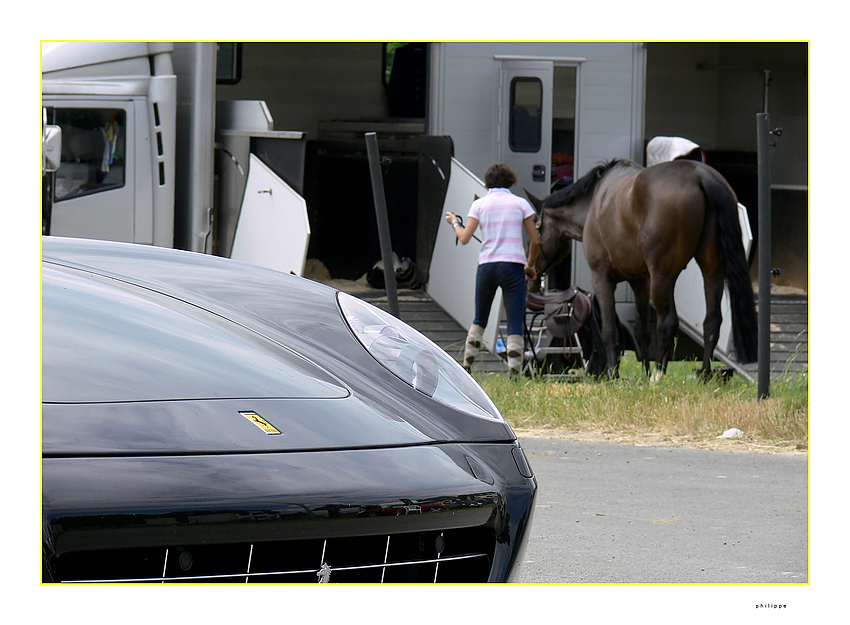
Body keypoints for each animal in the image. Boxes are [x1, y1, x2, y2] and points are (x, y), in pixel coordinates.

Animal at [528, 158, 760, 378]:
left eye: (534, 228)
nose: (530, 274)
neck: (595, 203)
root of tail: (700, 175)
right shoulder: (639, 281)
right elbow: (642, 332)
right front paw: (642, 373)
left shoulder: (602, 279)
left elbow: (610, 331)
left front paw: (614, 375)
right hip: (712, 271)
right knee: (712, 321)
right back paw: (703, 375)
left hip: (663, 277)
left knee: (668, 322)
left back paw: (657, 376)